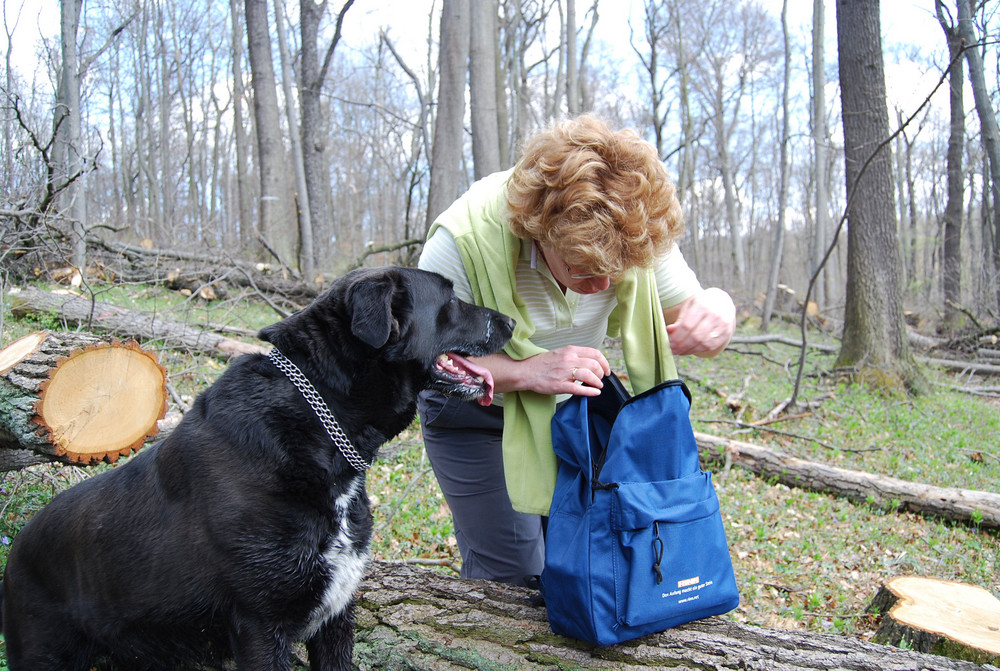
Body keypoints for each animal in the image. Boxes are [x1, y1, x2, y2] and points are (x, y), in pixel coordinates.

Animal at [0, 268, 512, 671]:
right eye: (450, 300)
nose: (509, 321)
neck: (323, 423)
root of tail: (16, 546)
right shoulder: (261, 624)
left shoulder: (335, 618)